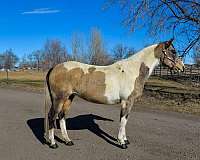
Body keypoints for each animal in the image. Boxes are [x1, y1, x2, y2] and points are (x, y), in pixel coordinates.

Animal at [44, 39, 184, 149]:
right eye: (173, 51)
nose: (182, 67)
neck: (132, 71)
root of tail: (55, 67)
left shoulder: (129, 102)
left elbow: (126, 119)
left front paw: (125, 139)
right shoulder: (126, 101)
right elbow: (123, 120)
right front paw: (122, 142)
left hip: (69, 97)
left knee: (61, 116)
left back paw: (68, 141)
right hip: (59, 98)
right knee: (52, 116)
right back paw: (53, 143)